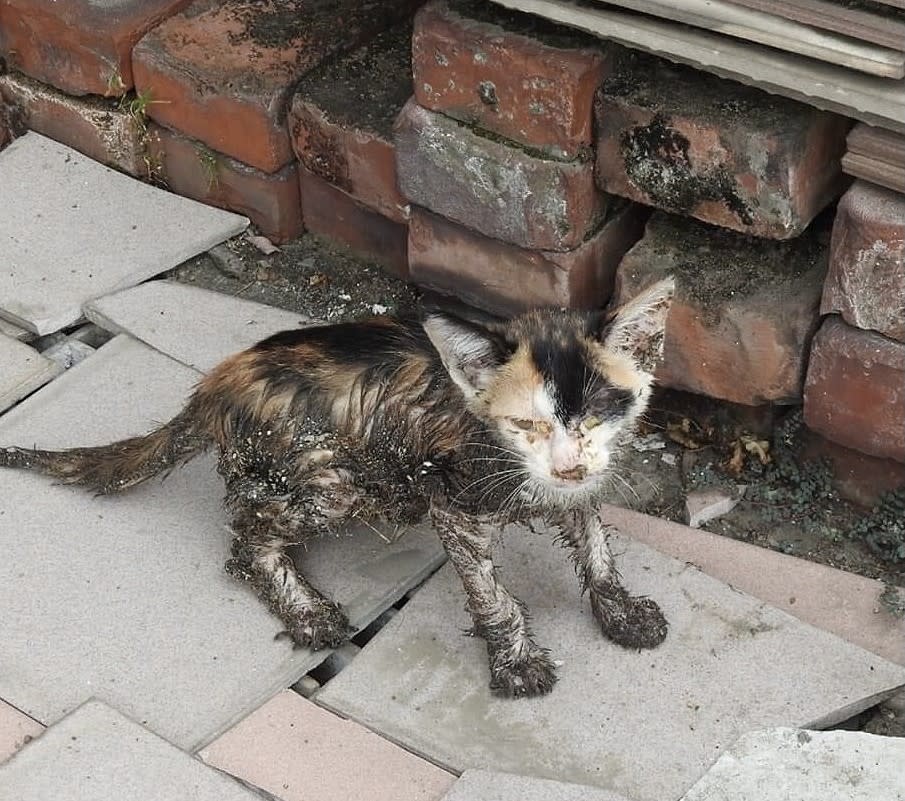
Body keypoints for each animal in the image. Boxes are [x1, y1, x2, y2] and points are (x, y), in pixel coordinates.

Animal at [0, 278, 676, 696]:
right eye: (526, 424)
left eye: (599, 414)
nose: (567, 466)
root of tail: (217, 386)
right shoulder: (448, 497)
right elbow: (491, 594)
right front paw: (516, 662)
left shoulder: (582, 479)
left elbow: (595, 544)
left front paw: (619, 610)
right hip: (336, 477)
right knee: (247, 534)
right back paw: (304, 609)